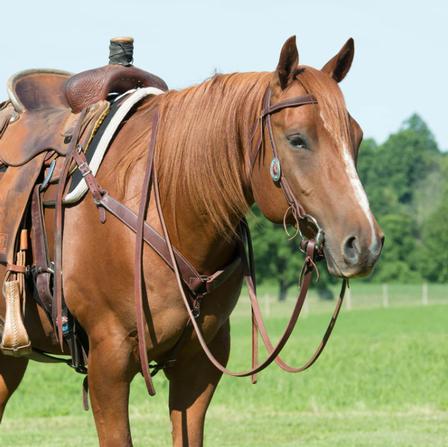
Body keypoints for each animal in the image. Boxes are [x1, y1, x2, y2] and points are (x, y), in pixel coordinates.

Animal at [0, 36, 384, 446]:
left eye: (357, 137)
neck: (165, 209)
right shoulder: (109, 365)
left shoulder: (198, 368)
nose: (364, 243)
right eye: (297, 139)